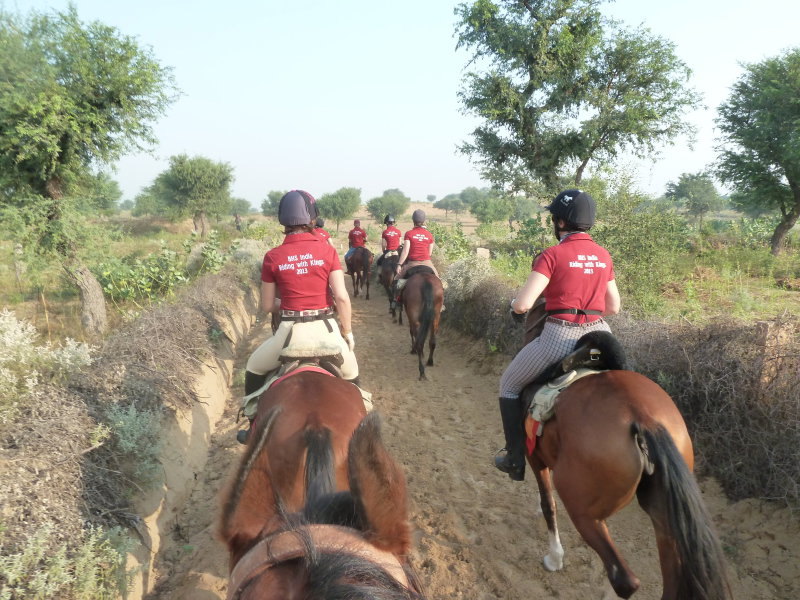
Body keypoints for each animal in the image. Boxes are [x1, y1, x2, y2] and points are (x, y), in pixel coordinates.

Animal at [516, 316, 736, 596]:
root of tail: (643, 418)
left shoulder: (533, 456)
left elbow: (548, 504)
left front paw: (554, 558)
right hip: (664, 520)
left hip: (585, 513)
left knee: (623, 580)